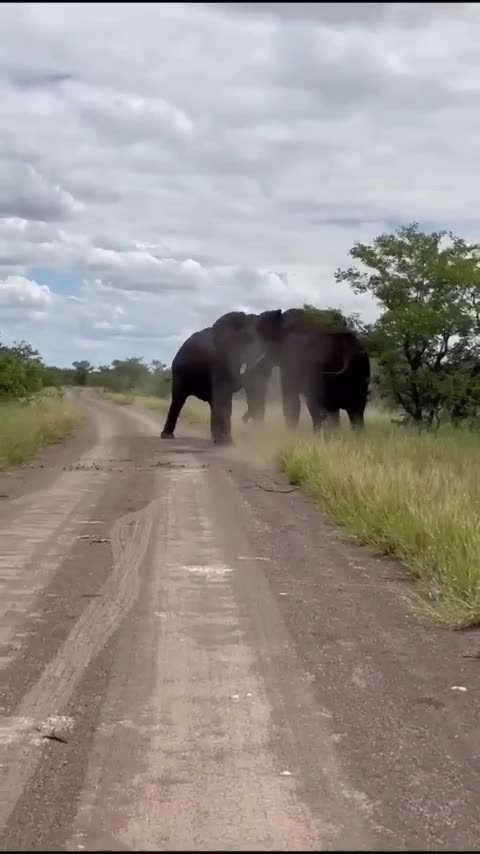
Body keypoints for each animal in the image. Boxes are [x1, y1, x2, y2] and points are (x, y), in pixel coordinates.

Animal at [240, 308, 370, 432]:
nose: (243, 420)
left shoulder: (290, 358)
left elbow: (291, 401)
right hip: (361, 366)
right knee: (356, 412)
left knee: (319, 407)